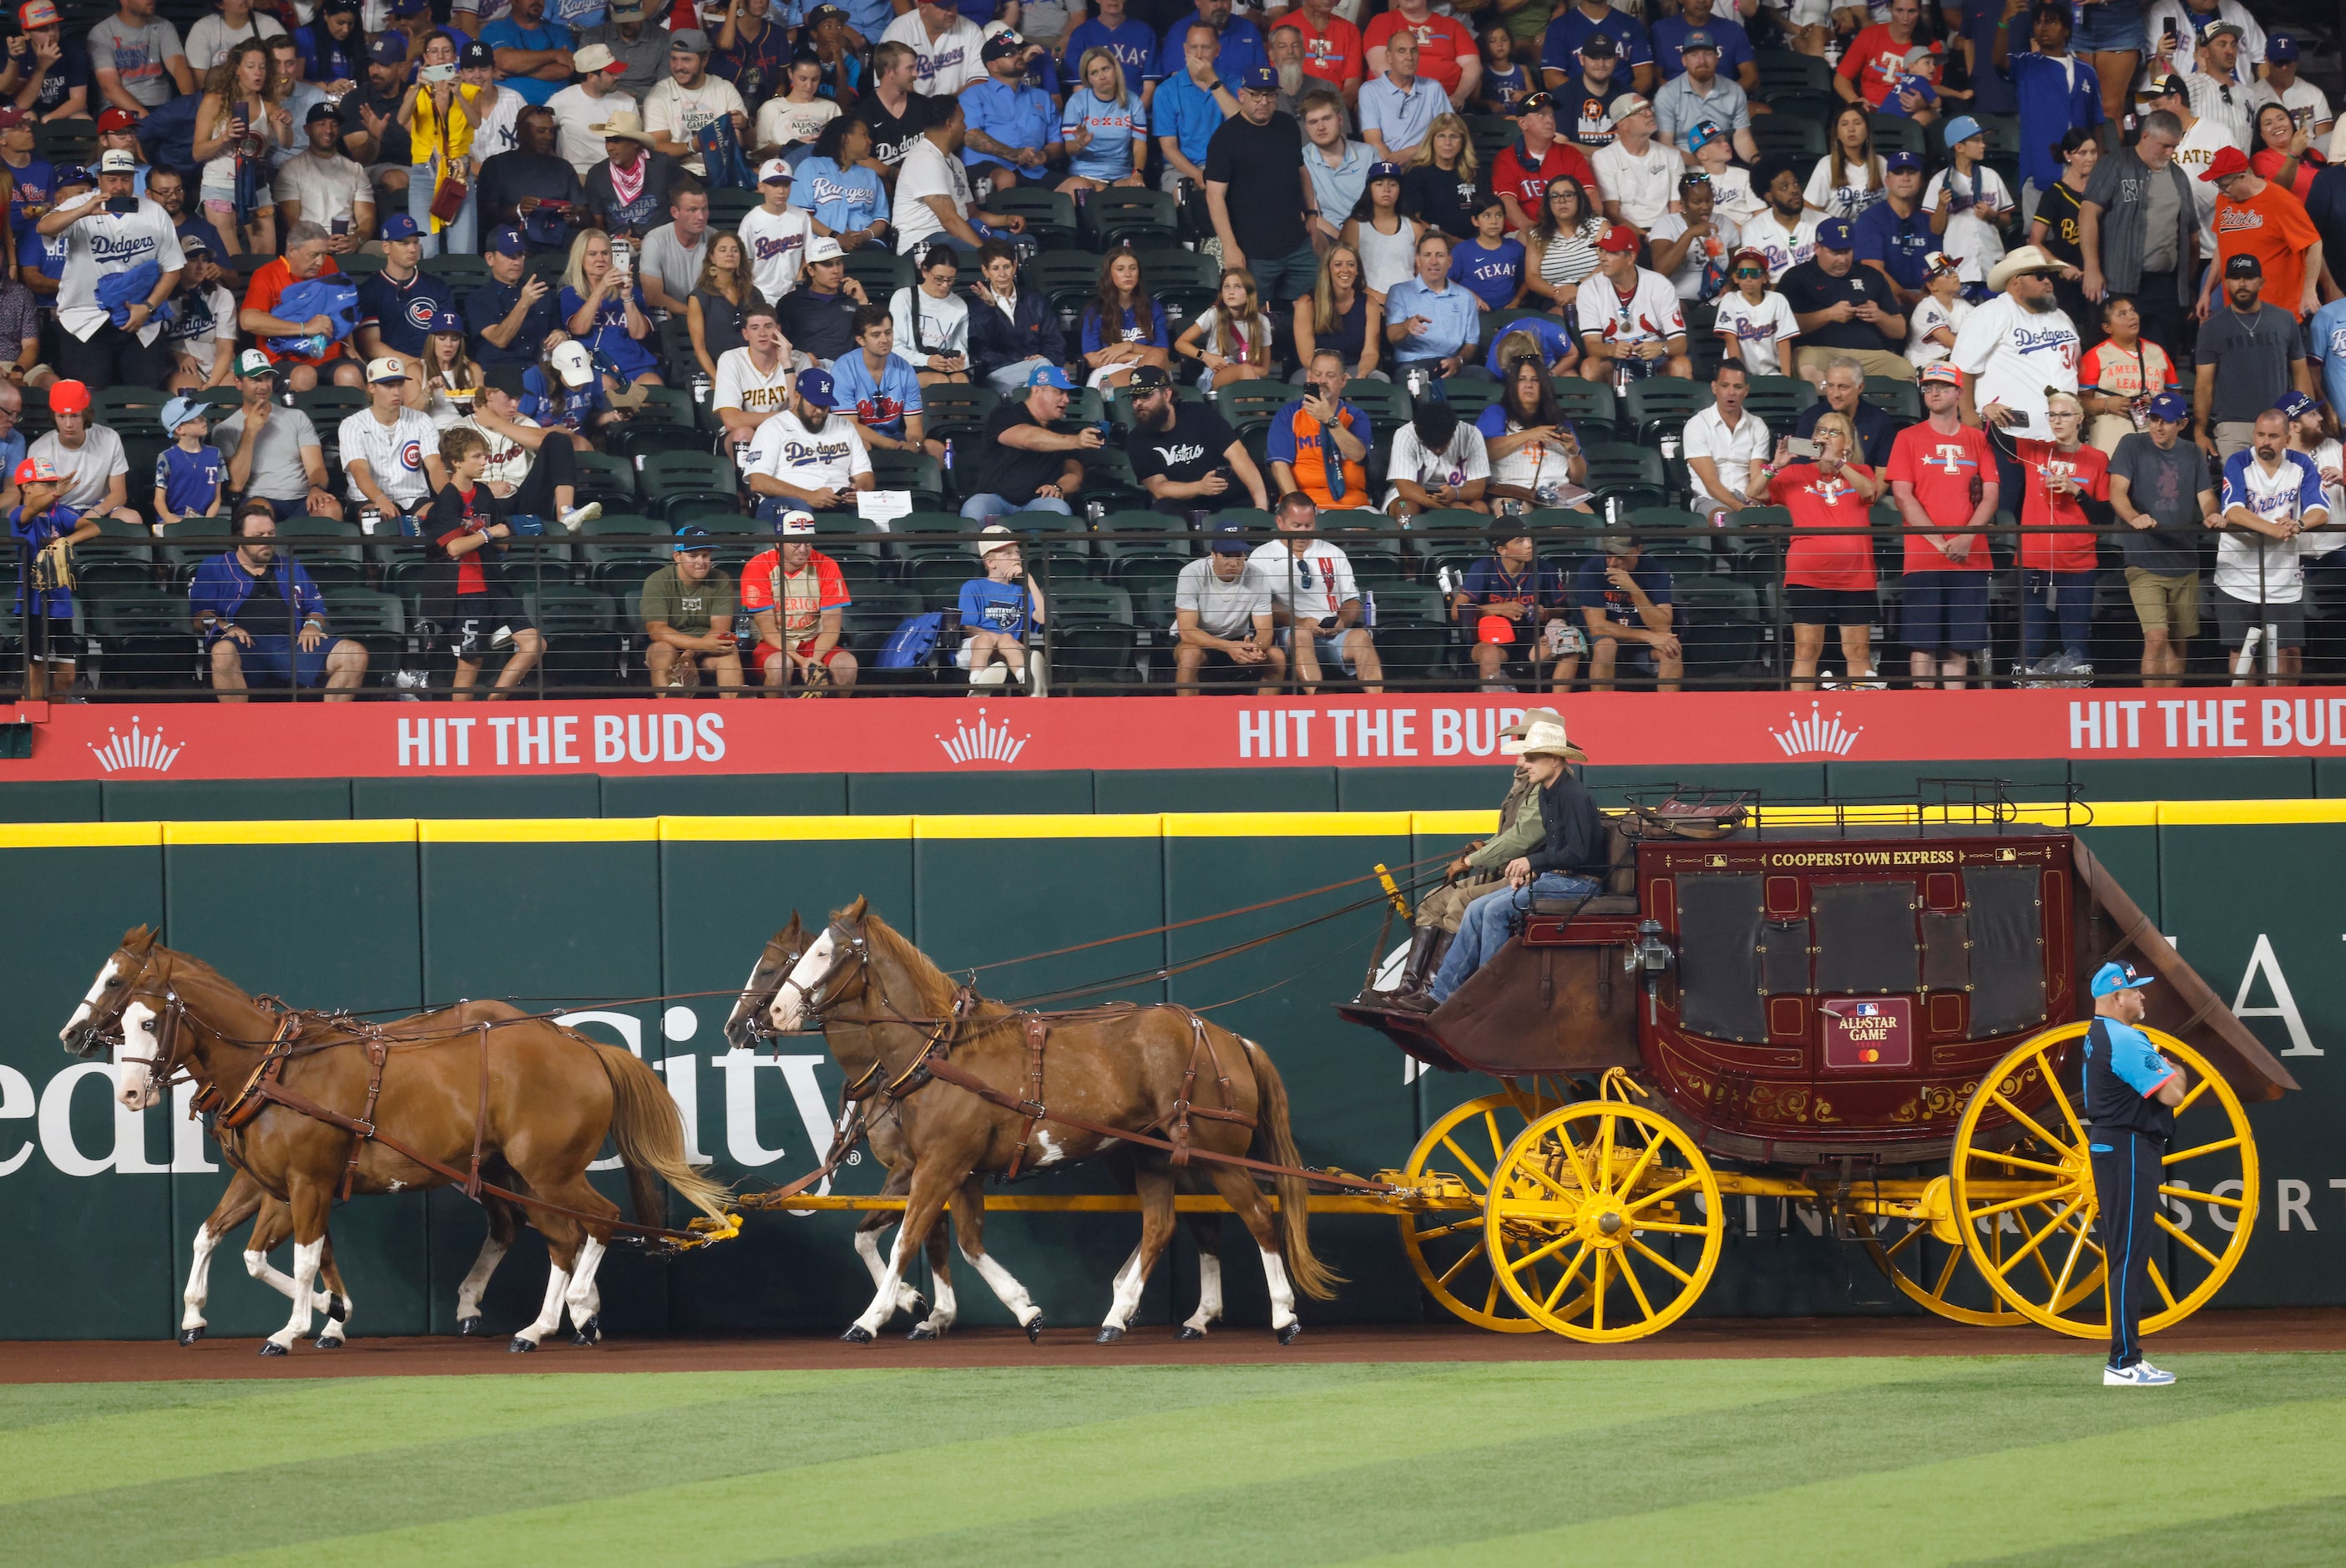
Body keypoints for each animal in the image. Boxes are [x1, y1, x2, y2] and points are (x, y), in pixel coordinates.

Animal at [68, 924, 727, 1352]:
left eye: (125, 993)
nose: (129, 1093)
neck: (275, 1068)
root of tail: (583, 1045)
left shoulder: (307, 1182)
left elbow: (299, 1256)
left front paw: (298, 1326)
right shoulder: (271, 1183)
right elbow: (233, 1243)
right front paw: (223, 1315)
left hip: (549, 1170)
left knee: (598, 1222)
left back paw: (571, 1308)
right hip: (516, 1173)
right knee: (554, 1236)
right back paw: (542, 1321)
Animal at [769, 901, 1342, 1343]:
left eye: (826, 952)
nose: (772, 1012)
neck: (942, 1052)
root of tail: (1225, 1037)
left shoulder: (937, 1165)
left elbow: (907, 1240)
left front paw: (871, 1318)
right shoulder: (961, 1170)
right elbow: (967, 1242)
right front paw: (1024, 1309)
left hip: (1215, 1154)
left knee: (1258, 1216)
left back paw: (1282, 1314)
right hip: (1157, 1156)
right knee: (1164, 1225)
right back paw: (1121, 1315)